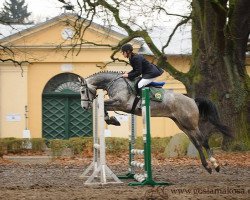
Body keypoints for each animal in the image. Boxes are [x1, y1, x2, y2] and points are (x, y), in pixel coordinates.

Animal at [78, 71, 232, 173]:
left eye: (82, 91)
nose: (84, 107)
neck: (116, 83)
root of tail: (193, 101)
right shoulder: (119, 104)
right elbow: (104, 107)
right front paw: (111, 120)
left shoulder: (121, 103)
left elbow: (104, 104)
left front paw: (113, 120)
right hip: (182, 125)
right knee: (197, 143)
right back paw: (207, 166)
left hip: (191, 124)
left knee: (203, 140)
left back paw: (215, 165)